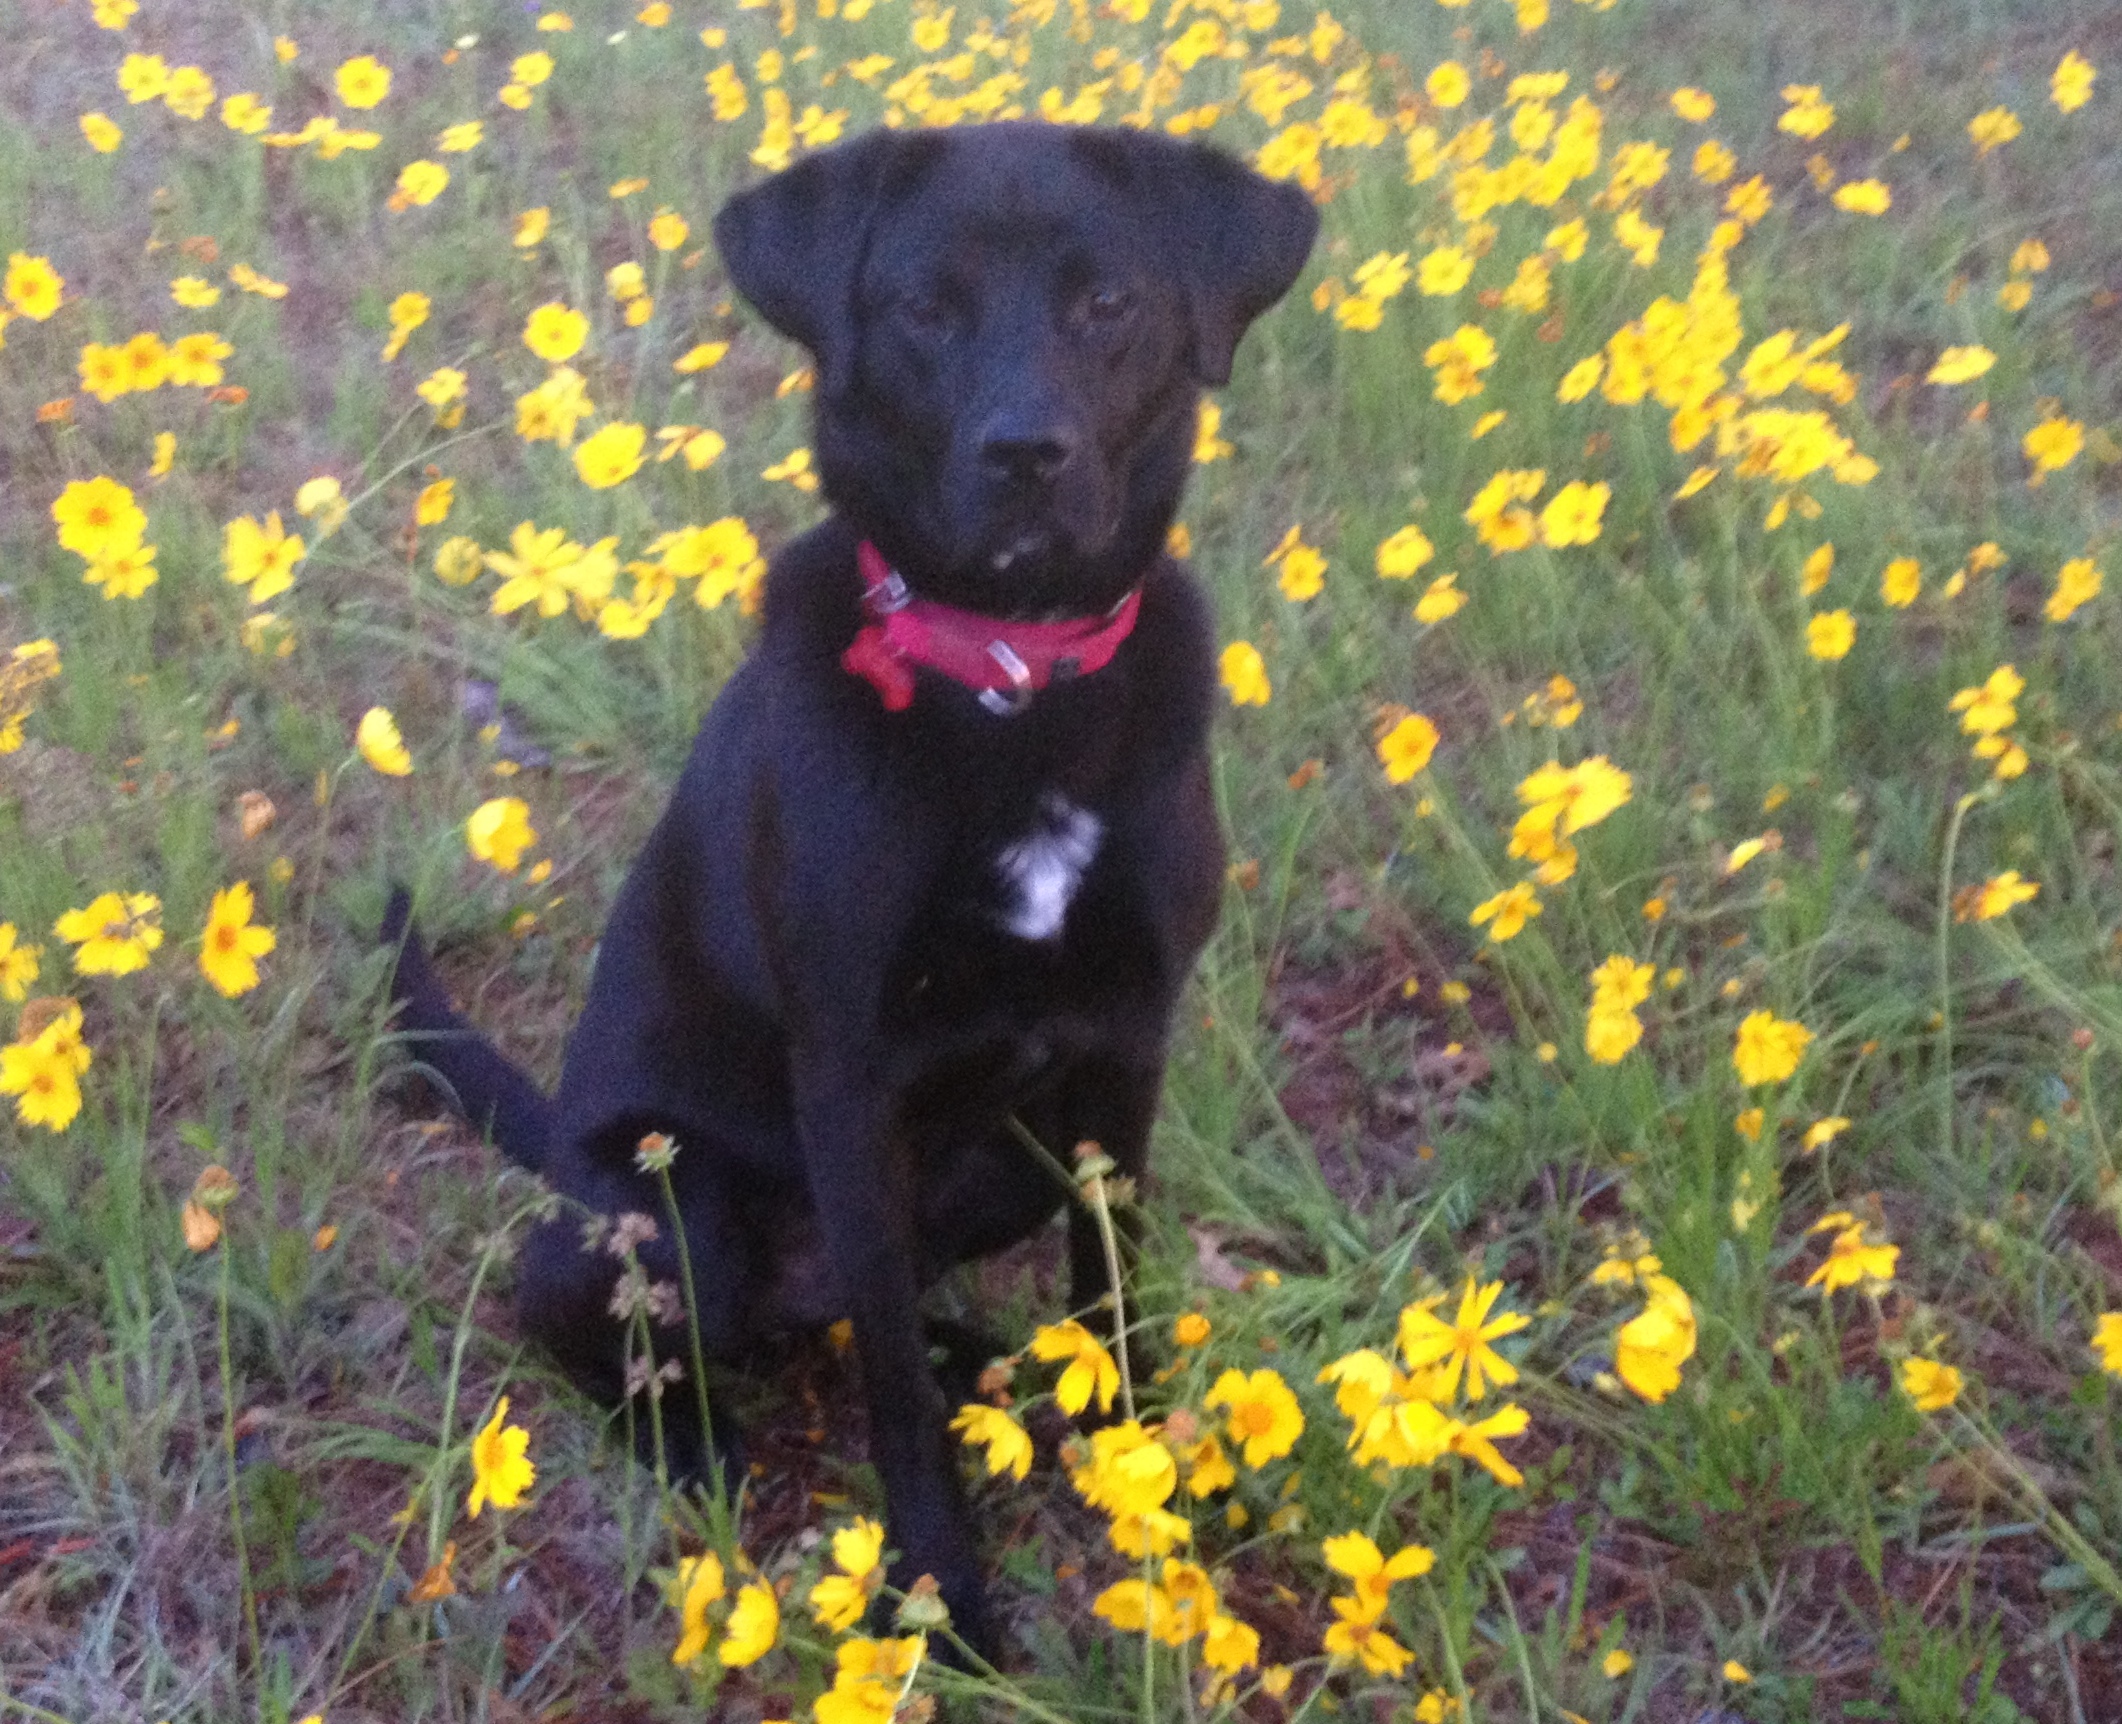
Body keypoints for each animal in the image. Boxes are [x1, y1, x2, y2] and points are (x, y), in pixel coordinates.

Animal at [384, 121, 1315, 1653]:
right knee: (609, 1334)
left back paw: (994, 1359)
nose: (1025, 455)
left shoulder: (1124, 1047)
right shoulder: (851, 1080)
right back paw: (697, 1444)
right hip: (671, 1210)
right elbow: (891, 1394)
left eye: (1107, 304)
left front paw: (1141, 1477)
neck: (1007, 683)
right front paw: (939, 1593)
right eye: (924, 309)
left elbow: (1109, 1286)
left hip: (1002, 1153)